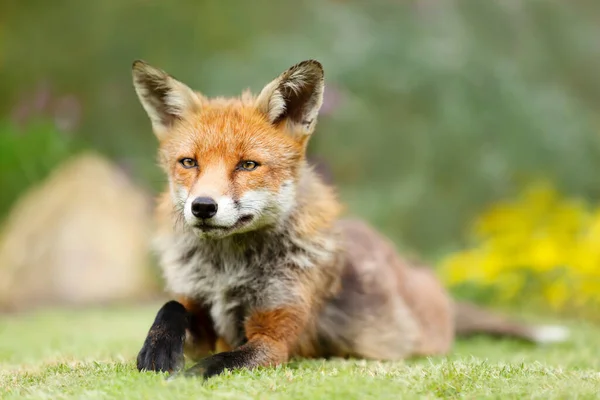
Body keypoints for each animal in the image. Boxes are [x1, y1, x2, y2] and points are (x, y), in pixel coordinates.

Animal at [130, 59, 568, 378]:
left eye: (248, 165)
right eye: (189, 163)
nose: (203, 207)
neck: (228, 270)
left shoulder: (276, 335)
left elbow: (218, 363)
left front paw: (183, 377)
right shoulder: (202, 312)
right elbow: (171, 306)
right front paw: (156, 351)